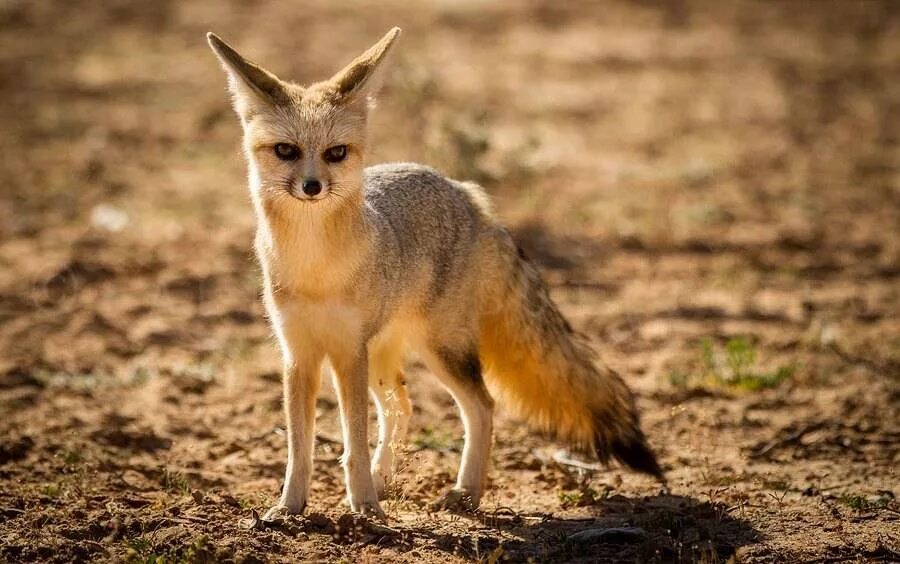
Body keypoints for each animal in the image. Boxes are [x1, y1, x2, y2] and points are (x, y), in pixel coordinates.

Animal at [207, 27, 664, 520]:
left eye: (336, 153)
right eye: (286, 151)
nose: (312, 187)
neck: (315, 268)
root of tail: (465, 192)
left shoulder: (346, 351)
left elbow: (352, 444)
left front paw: (365, 508)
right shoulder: (298, 354)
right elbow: (300, 447)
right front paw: (291, 508)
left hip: (438, 350)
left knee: (481, 406)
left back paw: (465, 492)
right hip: (382, 356)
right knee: (402, 407)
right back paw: (387, 479)